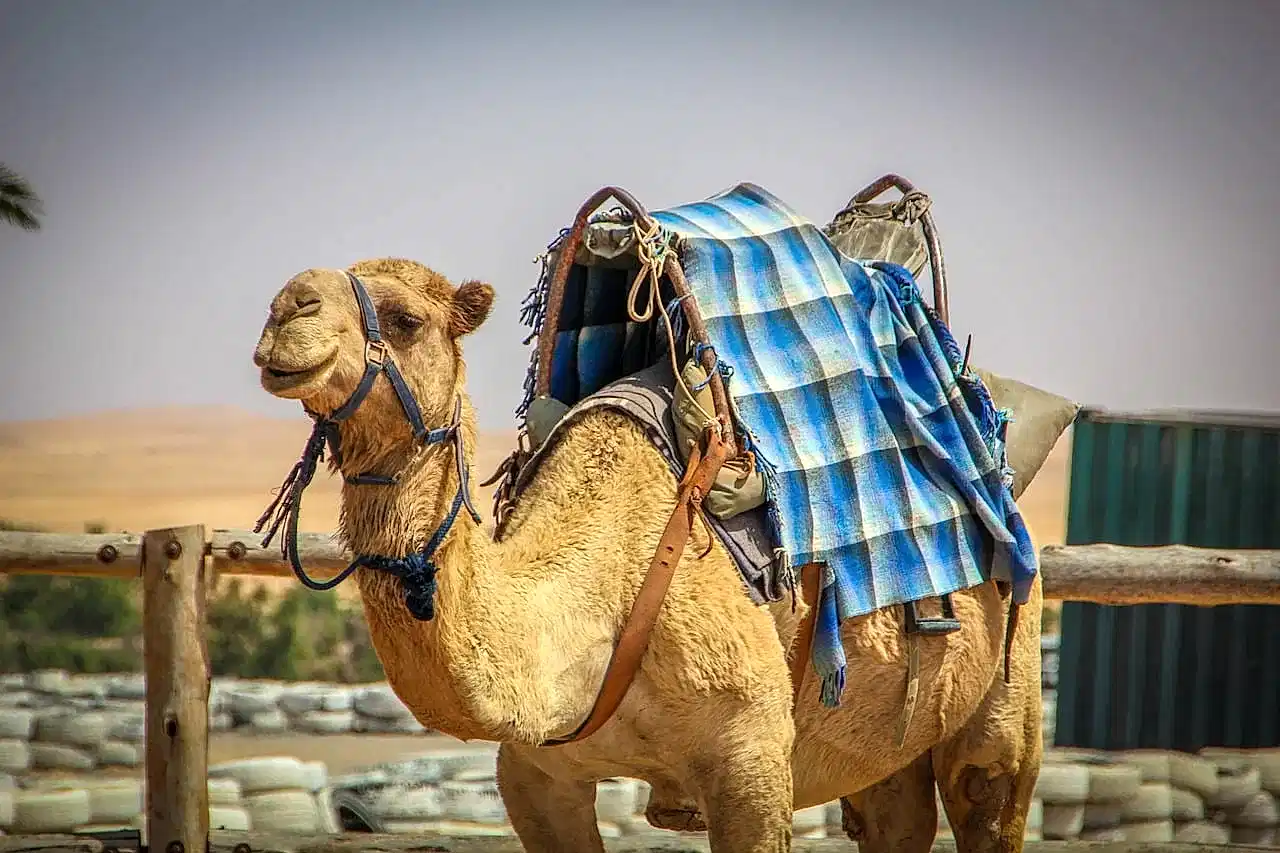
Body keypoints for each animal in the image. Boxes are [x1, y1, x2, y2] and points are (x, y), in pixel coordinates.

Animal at [252, 256, 1047, 853]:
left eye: (407, 319)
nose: (287, 306)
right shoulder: (536, 775)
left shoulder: (751, 759)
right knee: (893, 810)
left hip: (1011, 665)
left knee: (987, 787)